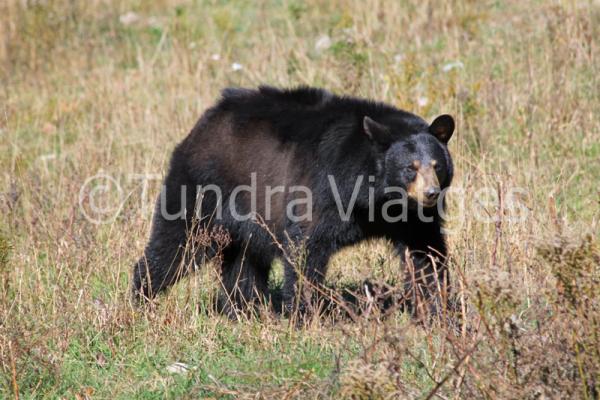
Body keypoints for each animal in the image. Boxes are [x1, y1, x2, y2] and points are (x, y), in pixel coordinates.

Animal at [134, 86, 454, 318]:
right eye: (410, 168)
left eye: (436, 165)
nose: (430, 194)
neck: (375, 198)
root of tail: (206, 120)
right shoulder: (322, 193)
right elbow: (306, 250)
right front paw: (303, 314)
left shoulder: (409, 218)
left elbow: (426, 254)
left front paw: (438, 310)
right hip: (203, 188)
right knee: (178, 243)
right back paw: (141, 297)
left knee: (244, 262)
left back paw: (244, 308)